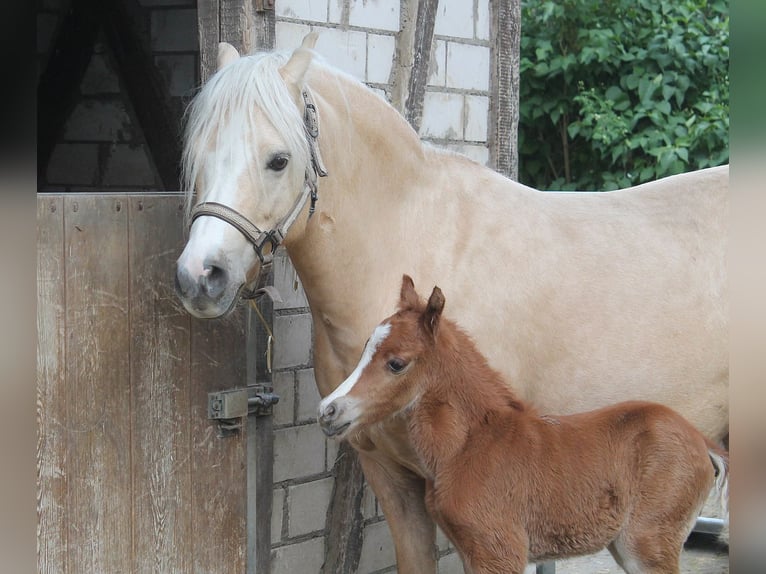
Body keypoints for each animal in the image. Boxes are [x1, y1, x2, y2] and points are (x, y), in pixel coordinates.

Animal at [318, 276, 732, 572]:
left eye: (396, 363)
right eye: (364, 350)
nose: (328, 411)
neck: (469, 447)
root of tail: (702, 441)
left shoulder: (500, 551)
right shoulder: (473, 552)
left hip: (646, 543)